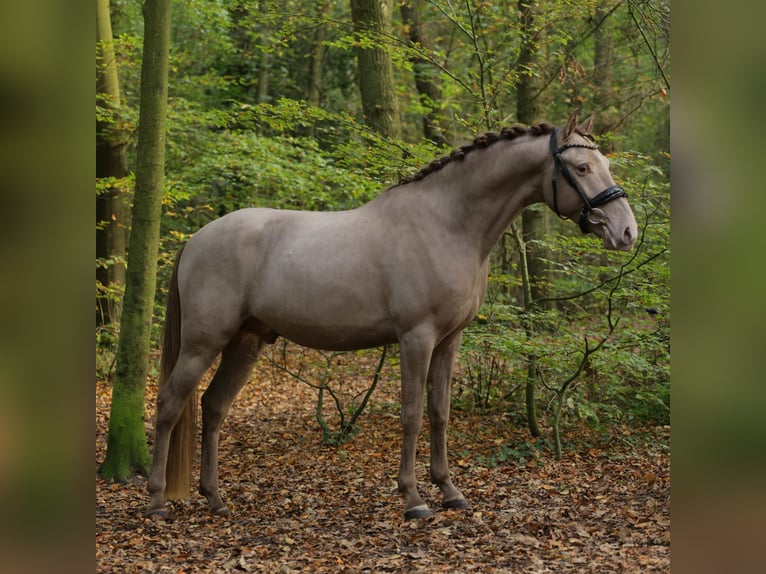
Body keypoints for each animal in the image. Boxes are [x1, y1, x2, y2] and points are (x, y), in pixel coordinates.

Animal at [147, 109, 640, 520]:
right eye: (581, 168)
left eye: (605, 164)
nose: (627, 231)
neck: (447, 223)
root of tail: (196, 239)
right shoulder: (416, 337)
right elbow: (412, 414)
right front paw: (414, 499)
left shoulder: (449, 341)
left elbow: (440, 413)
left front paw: (450, 492)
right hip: (203, 342)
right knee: (170, 403)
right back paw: (156, 502)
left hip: (246, 341)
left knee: (213, 407)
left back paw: (216, 500)